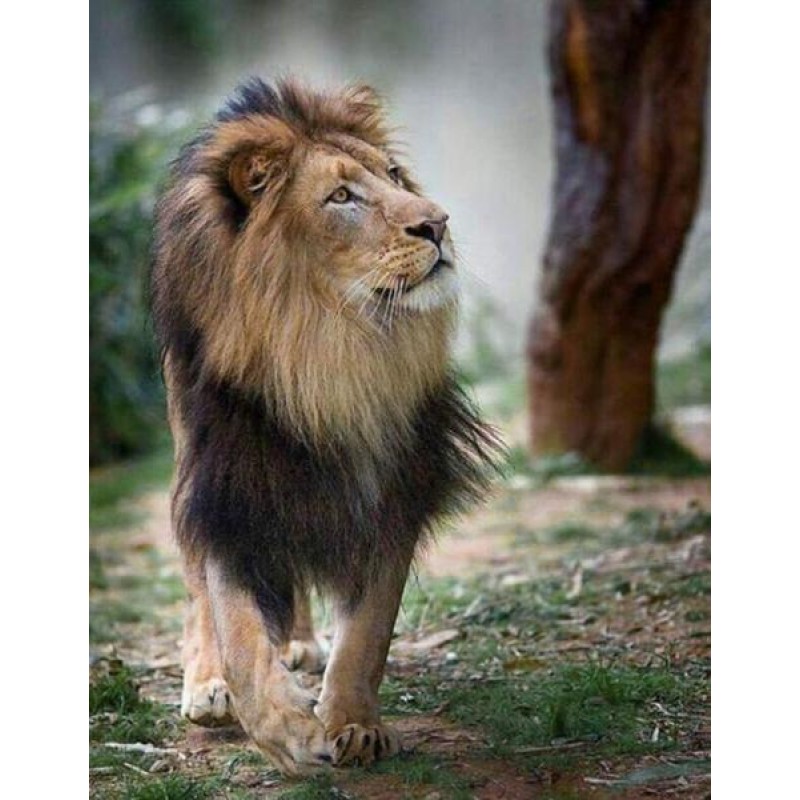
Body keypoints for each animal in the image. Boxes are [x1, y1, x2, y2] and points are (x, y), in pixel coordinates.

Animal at [151, 78, 501, 775]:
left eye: (394, 175)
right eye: (341, 197)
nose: (438, 223)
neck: (329, 345)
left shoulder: (393, 481)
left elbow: (368, 630)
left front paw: (354, 723)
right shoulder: (228, 480)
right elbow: (234, 622)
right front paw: (284, 729)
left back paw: (300, 644)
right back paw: (208, 685)